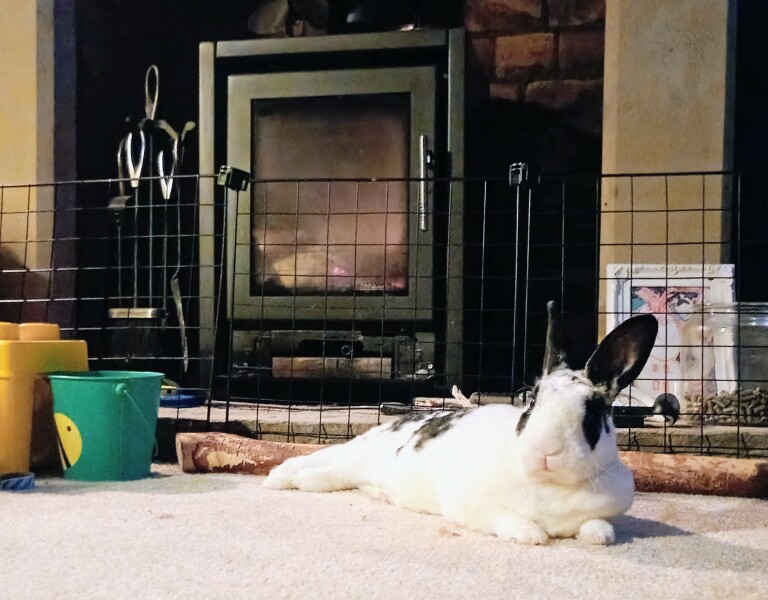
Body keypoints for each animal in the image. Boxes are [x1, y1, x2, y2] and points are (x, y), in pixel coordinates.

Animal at [263, 301, 658, 545]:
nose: (546, 451)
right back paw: (277, 479)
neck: (549, 488)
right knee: (317, 457)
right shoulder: (470, 503)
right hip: (357, 452)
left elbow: (598, 525)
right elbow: (507, 519)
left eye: (592, 412)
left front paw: (600, 536)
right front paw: (530, 535)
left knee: (332, 475)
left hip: (357, 472)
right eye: (532, 401)